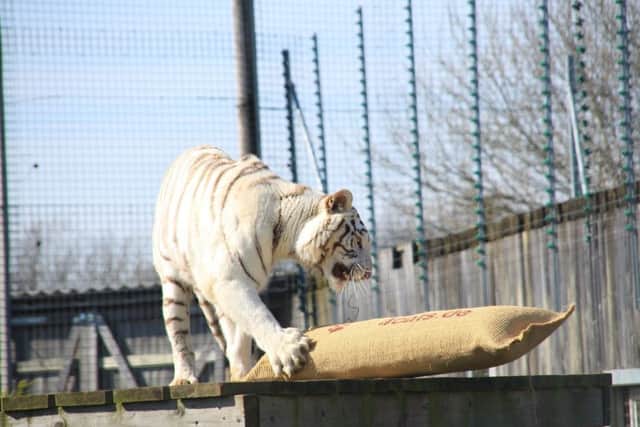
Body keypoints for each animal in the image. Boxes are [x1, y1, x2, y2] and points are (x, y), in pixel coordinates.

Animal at [152, 145, 372, 384]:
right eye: (358, 241)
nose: (369, 272)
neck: (287, 238)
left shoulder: (238, 283)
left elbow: (242, 333)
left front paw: (245, 374)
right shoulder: (230, 279)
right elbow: (257, 314)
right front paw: (288, 351)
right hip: (172, 280)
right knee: (178, 333)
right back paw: (184, 377)